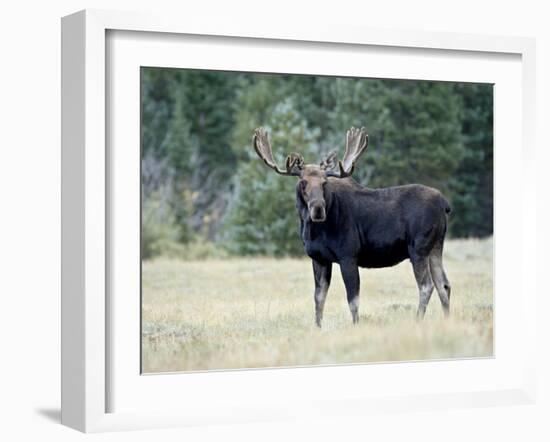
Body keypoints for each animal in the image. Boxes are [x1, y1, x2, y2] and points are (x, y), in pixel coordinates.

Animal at [254, 126, 452, 326]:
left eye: (324, 182)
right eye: (303, 181)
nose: (318, 209)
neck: (314, 231)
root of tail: (444, 203)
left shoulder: (348, 255)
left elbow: (353, 299)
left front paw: (355, 325)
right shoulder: (319, 258)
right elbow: (319, 298)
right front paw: (317, 326)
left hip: (418, 248)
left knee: (426, 285)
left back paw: (418, 319)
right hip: (435, 247)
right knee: (444, 284)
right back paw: (446, 320)